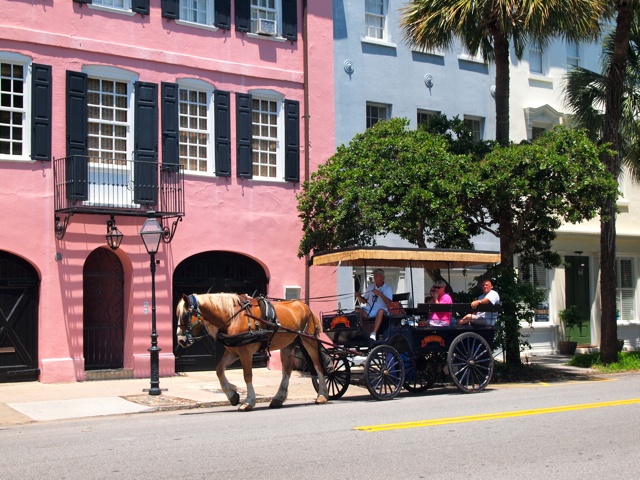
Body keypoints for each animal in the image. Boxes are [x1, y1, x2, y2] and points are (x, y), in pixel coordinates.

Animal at [176, 292, 330, 412]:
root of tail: (305, 306)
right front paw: (232, 395)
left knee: (318, 365)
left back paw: (322, 395)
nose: (181, 340)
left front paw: (248, 401)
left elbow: (247, 376)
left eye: (185, 315)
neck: (234, 317)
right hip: (288, 345)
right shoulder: (232, 351)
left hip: (309, 340)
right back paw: (278, 398)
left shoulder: (246, 352)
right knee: (287, 370)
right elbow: (219, 370)